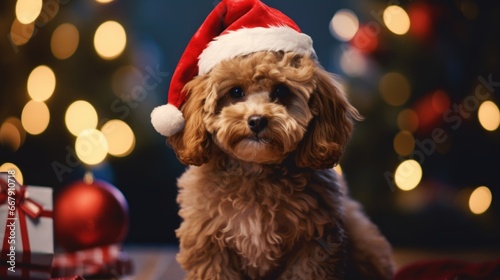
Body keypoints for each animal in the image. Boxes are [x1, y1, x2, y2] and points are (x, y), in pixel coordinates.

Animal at [168, 50, 394, 280]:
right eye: (236, 92)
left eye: (280, 90)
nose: (257, 120)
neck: (255, 173)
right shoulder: (209, 246)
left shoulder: (313, 246)